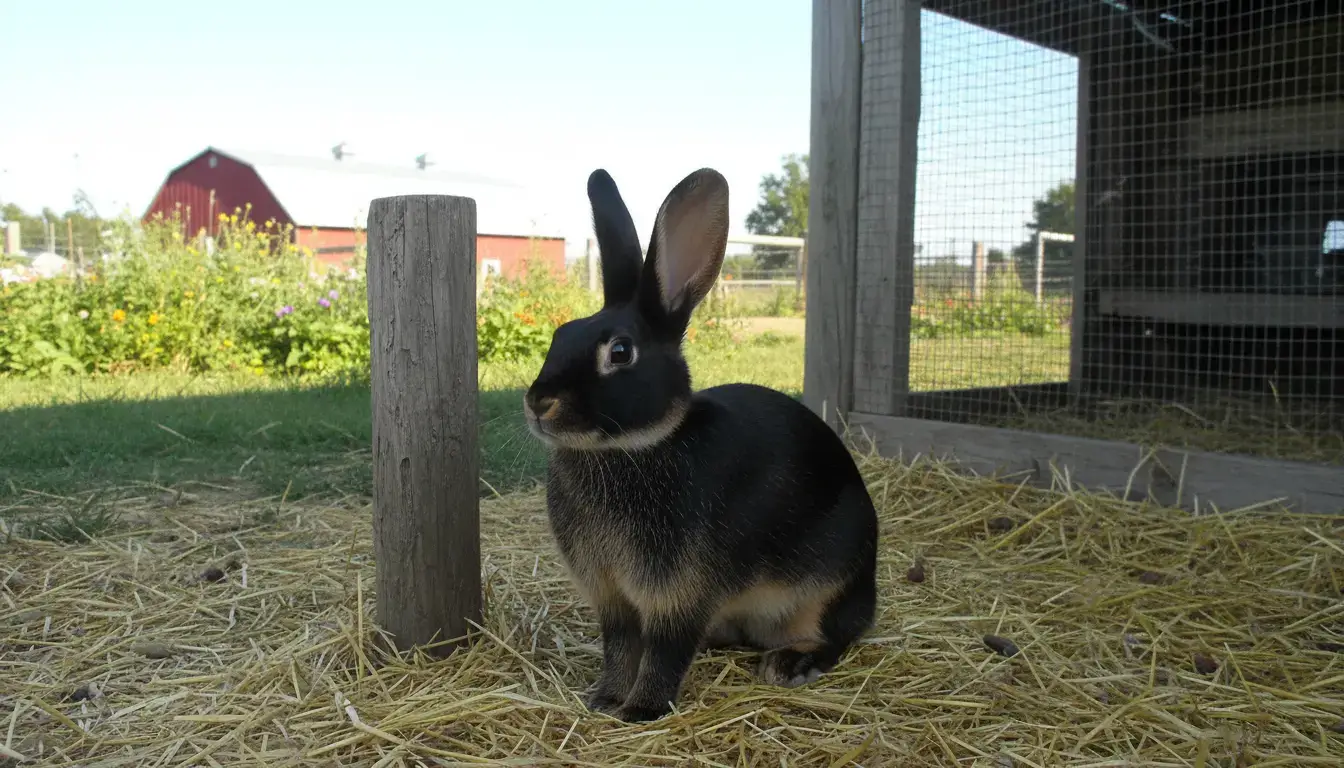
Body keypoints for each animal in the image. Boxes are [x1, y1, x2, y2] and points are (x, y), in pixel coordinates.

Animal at [523, 167, 879, 723]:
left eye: (620, 352)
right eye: (560, 334)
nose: (539, 402)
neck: (631, 449)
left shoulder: (680, 595)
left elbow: (664, 653)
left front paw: (642, 710)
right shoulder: (614, 601)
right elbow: (621, 649)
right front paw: (605, 699)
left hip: (831, 584)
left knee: (838, 634)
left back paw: (791, 664)